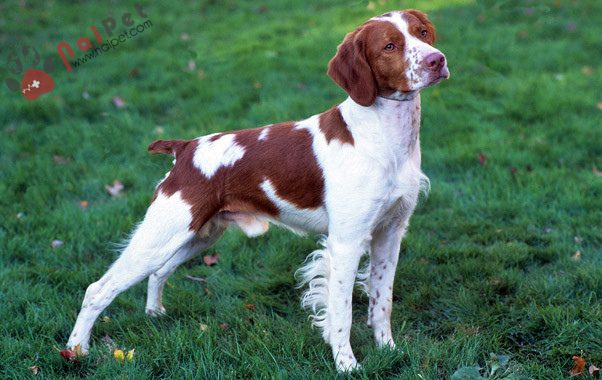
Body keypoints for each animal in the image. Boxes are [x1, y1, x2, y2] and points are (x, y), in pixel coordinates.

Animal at [68, 9, 448, 372]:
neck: (384, 138)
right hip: (162, 233)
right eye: (389, 46)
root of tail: (185, 148)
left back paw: (155, 314)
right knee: (98, 289)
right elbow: (341, 314)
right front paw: (347, 365)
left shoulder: (390, 232)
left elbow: (381, 301)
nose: (437, 60)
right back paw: (75, 351)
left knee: (159, 272)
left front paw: (390, 350)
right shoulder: (346, 241)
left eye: (422, 33)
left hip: (198, 235)